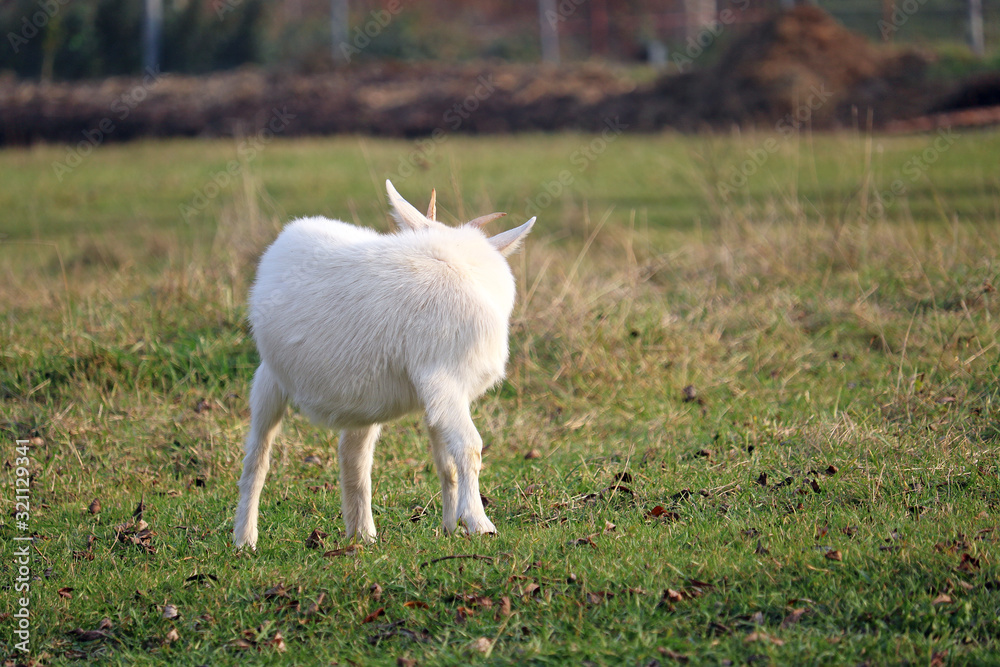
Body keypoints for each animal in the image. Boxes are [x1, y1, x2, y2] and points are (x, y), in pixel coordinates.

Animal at [233, 180, 534, 548]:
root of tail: (286, 237)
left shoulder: (436, 398)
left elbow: (445, 462)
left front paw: (450, 525)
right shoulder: (444, 380)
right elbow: (469, 448)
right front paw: (479, 522)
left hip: (360, 402)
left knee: (353, 456)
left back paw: (362, 534)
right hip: (269, 378)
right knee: (257, 457)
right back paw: (244, 538)